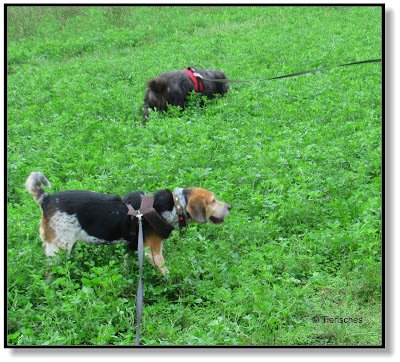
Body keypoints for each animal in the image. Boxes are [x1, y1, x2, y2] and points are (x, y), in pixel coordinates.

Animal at [26, 172, 231, 274]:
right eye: (213, 201)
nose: (230, 206)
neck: (175, 204)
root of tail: (46, 198)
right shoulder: (153, 251)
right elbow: (165, 269)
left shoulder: (134, 246)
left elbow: (127, 261)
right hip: (59, 250)